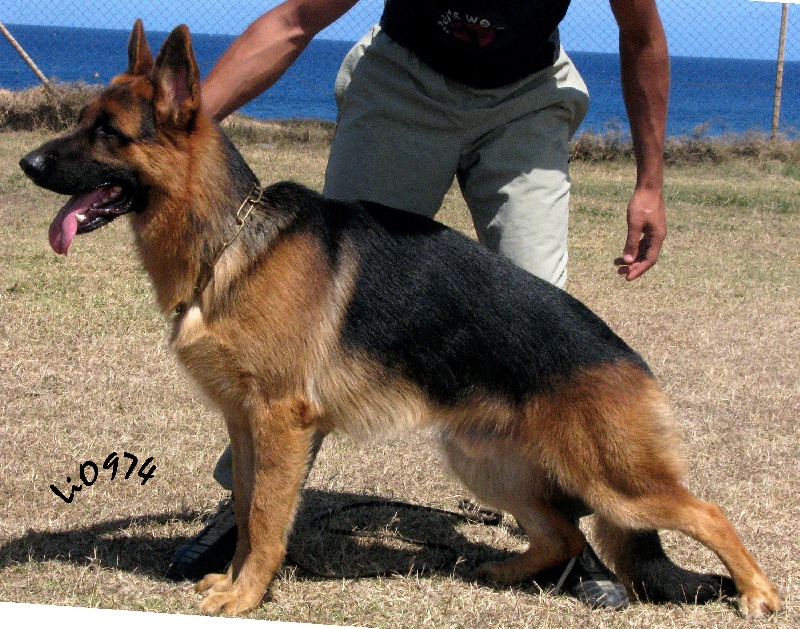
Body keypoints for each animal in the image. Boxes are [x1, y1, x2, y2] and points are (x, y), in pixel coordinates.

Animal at [20, 20, 780, 620]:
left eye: (107, 134)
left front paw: (247, 594)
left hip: (613, 482)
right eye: (81, 121)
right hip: (484, 462)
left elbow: (265, 516)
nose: (26, 161)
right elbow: (243, 502)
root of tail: (627, 356)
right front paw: (234, 578)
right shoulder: (244, 421)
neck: (231, 239)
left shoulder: (281, 423)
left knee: (702, 512)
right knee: (563, 530)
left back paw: (759, 593)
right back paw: (503, 570)